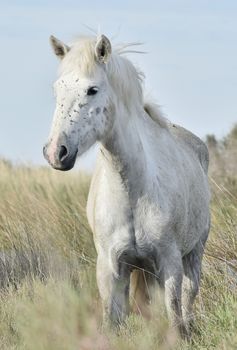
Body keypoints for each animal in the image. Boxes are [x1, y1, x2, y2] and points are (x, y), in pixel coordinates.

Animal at [43, 34, 210, 336]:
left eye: (92, 90)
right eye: (57, 90)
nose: (55, 153)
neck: (133, 191)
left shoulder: (170, 264)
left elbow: (174, 314)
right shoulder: (110, 269)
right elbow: (113, 321)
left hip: (194, 253)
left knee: (189, 298)